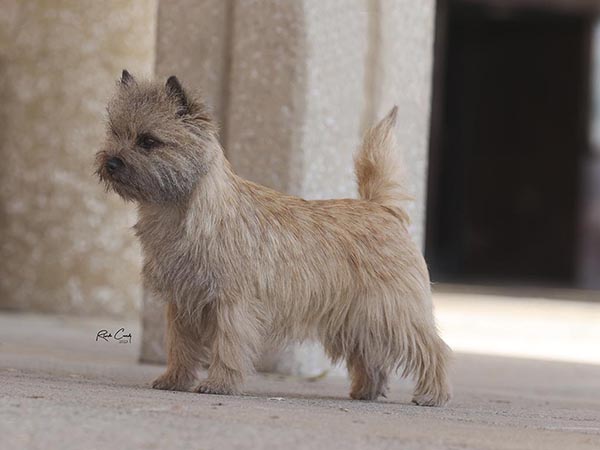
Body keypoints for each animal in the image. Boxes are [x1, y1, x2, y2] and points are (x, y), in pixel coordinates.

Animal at [96, 69, 450, 404]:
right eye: (114, 132)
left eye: (148, 141)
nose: (110, 162)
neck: (180, 212)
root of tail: (381, 207)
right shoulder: (182, 301)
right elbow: (180, 345)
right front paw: (174, 379)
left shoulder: (231, 302)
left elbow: (228, 346)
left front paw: (219, 384)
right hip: (358, 318)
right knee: (371, 355)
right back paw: (366, 391)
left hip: (395, 310)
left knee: (433, 348)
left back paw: (432, 395)